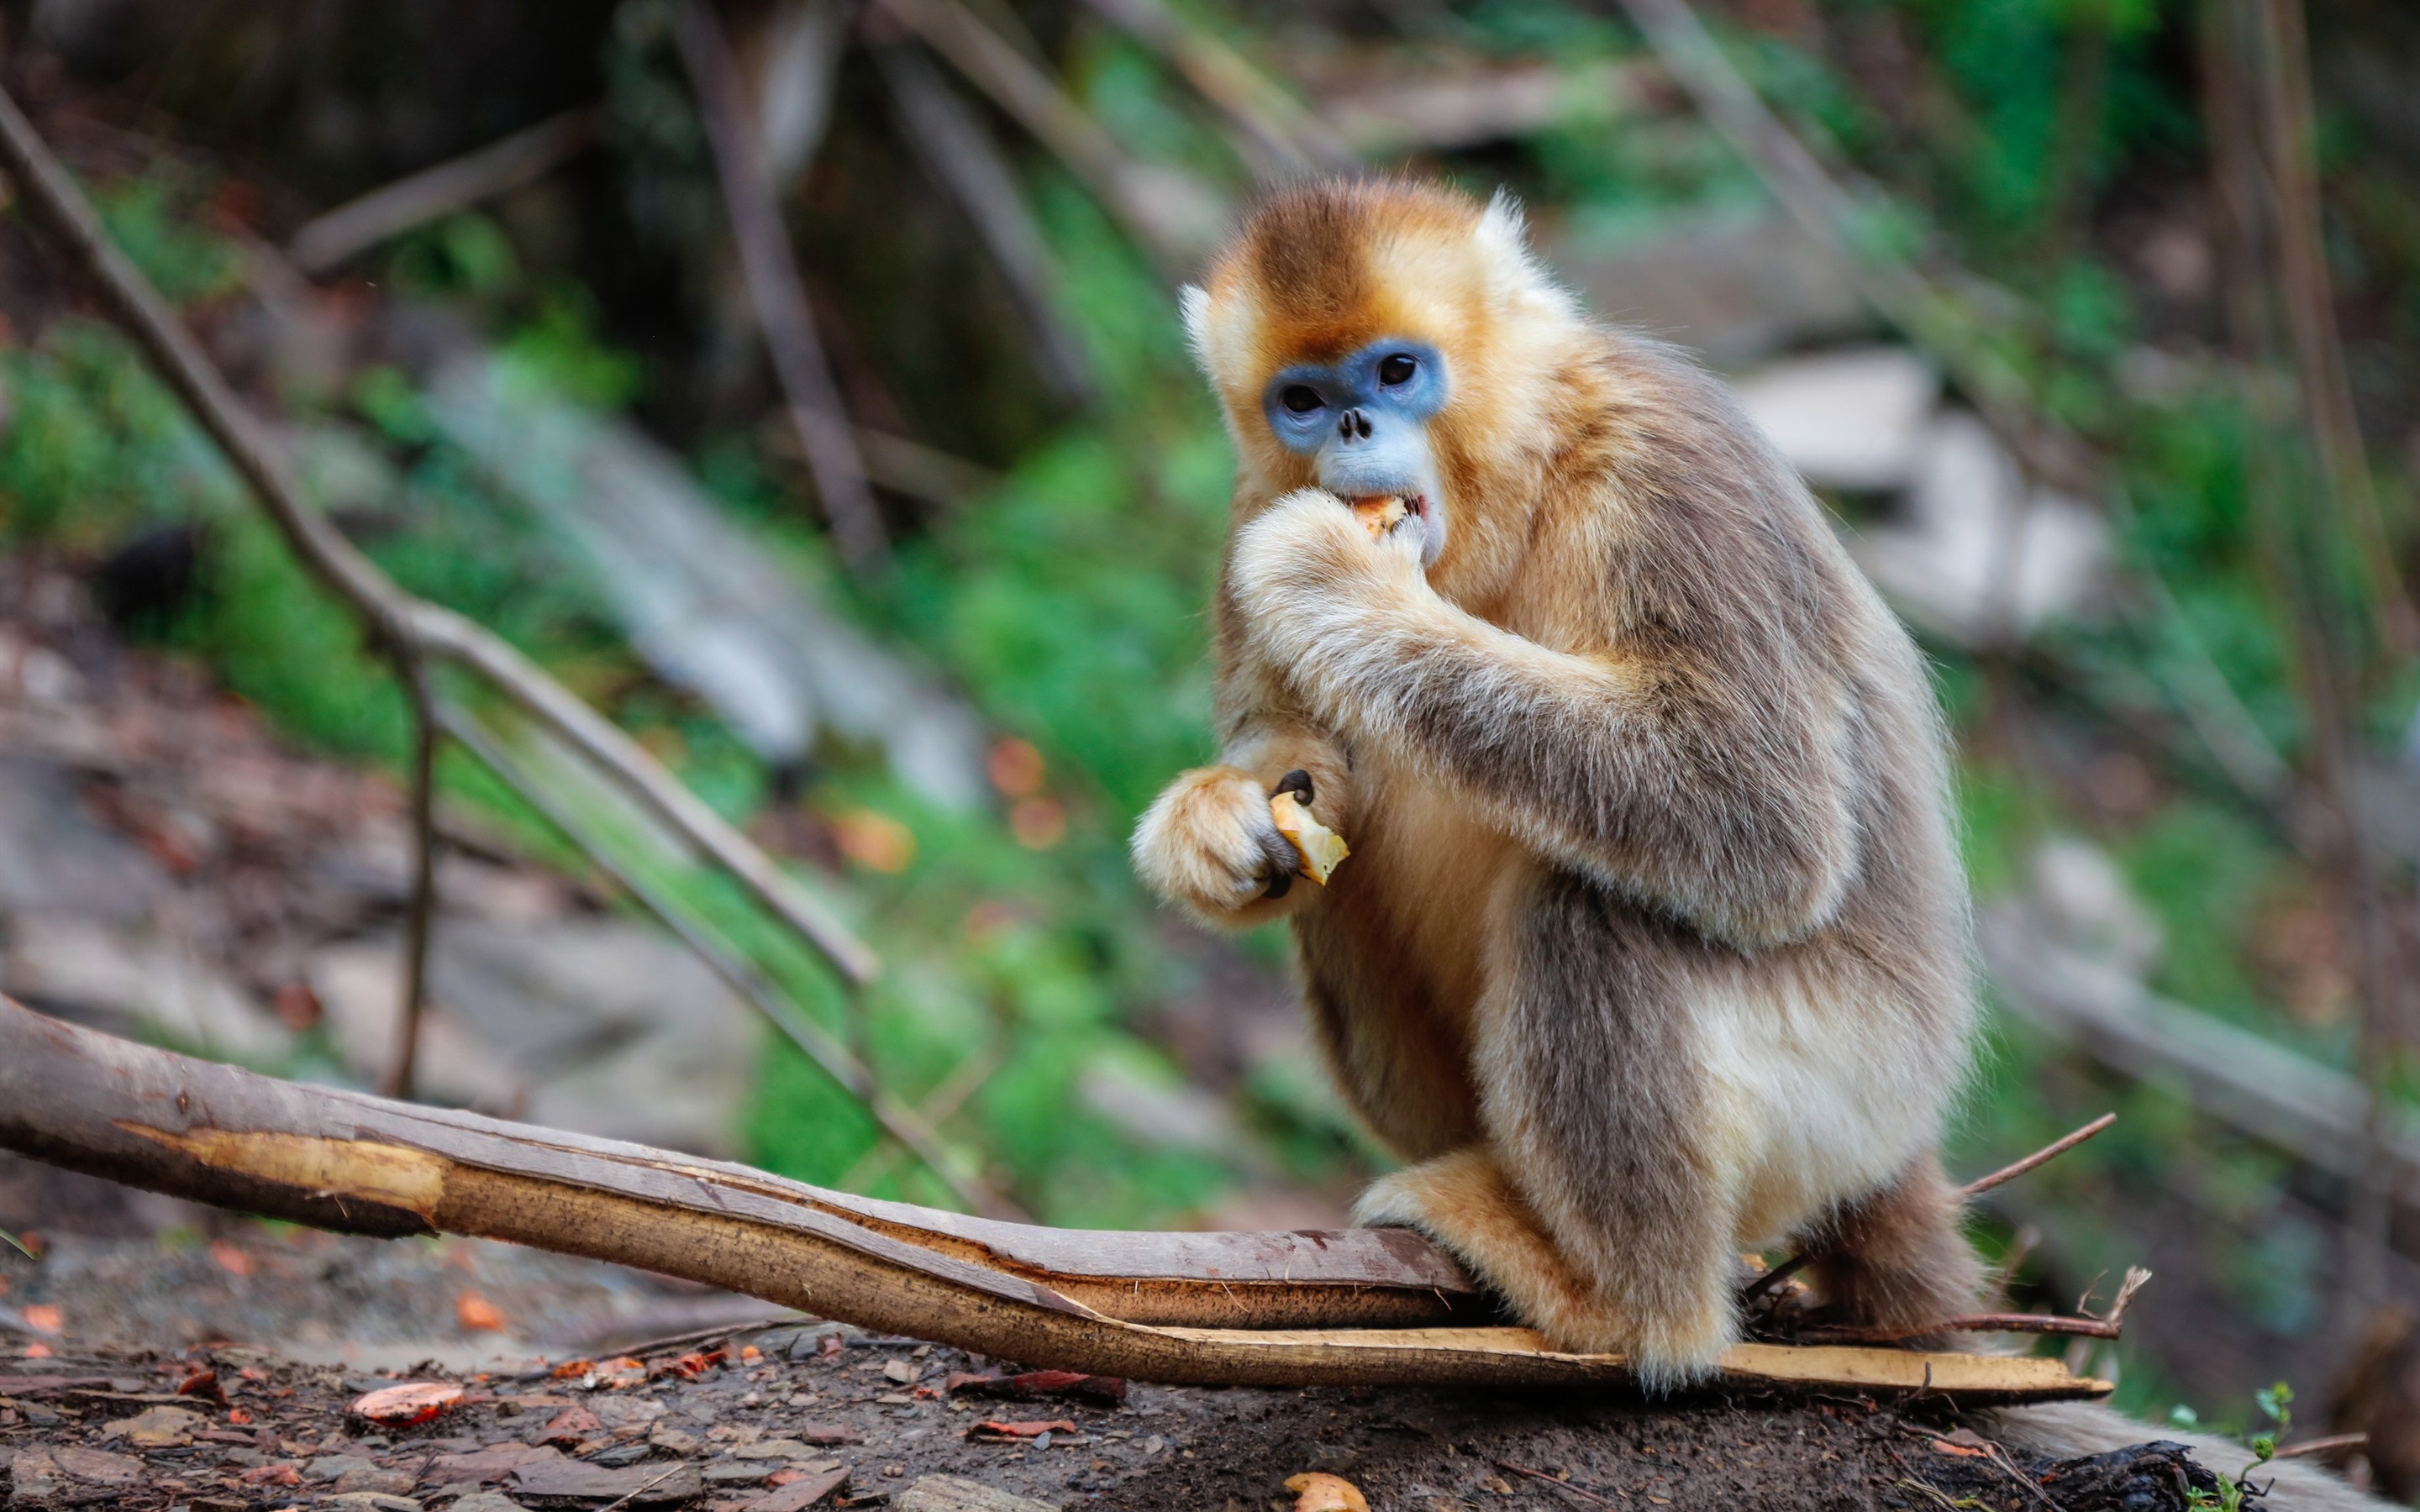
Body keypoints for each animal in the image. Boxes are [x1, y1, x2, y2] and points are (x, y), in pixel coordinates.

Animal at [1128, 176, 1984, 1387]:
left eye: (1397, 372)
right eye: (1302, 399)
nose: (1351, 428)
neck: (1514, 491)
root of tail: (1898, 1143)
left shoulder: (1661, 464)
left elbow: (1762, 825)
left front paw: (1341, 586)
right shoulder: (1257, 499)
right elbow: (1306, 768)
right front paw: (1214, 829)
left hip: (1846, 1095)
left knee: (1589, 909)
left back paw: (1629, 1311)